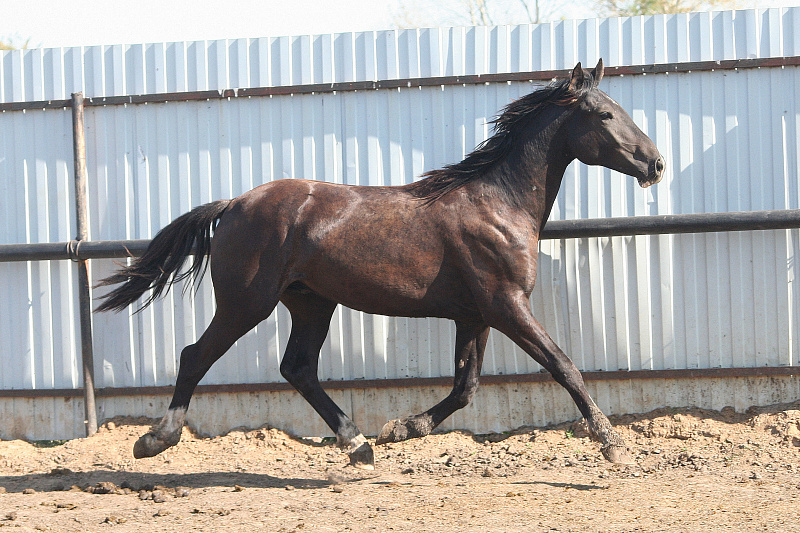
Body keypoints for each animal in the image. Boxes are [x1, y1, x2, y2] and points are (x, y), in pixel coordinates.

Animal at [97, 59, 665, 469]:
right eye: (605, 115)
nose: (656, 164)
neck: (497, 205)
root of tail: (233, 204)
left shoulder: (475, 315)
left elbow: (465, 387)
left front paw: (401, 429)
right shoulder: (506, 306)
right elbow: (564, 366)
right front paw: (610, 443)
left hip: (311, 302)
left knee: (297, 368)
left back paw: (360, 445)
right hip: (246, 303)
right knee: (196, 356)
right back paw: (155, 440)